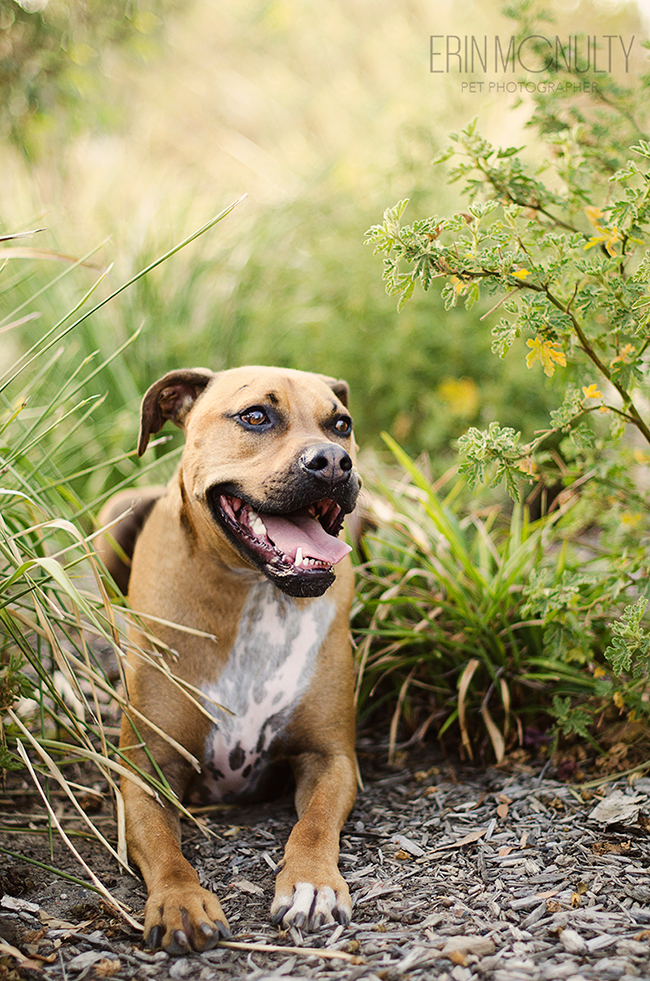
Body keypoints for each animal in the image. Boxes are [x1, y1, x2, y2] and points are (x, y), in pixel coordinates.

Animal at [96, 366, 360, 948]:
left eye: (341, 424)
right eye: (255, 416)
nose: (334, 460)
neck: (257, 591)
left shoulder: (331, 757)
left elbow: (314, 823)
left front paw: (310, 883)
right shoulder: (148, 769)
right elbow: (167, 852)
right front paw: (180, 900)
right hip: (114, 514)